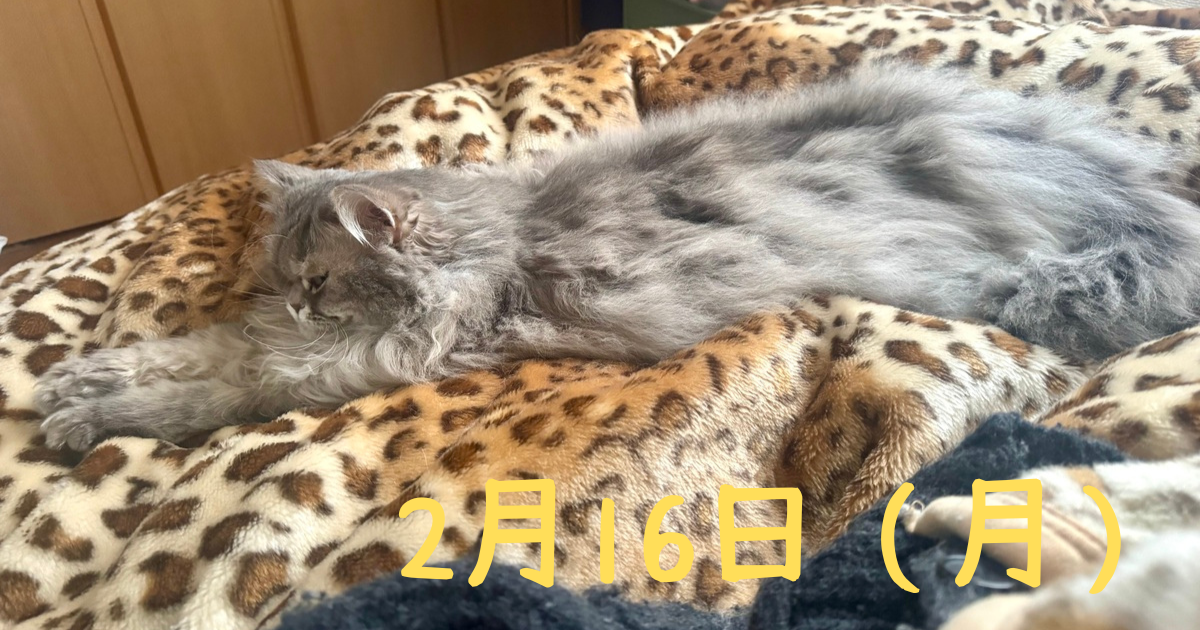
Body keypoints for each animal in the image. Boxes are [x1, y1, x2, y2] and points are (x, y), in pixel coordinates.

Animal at [36, 63, 1200, 451]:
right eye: (285, 282)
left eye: (321, 281)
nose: (302, 306)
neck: (490, 235)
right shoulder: (287, 344)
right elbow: (196, 352)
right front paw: (79, 381)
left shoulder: (345, 363)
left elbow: (206, 384)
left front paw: (84, 413)